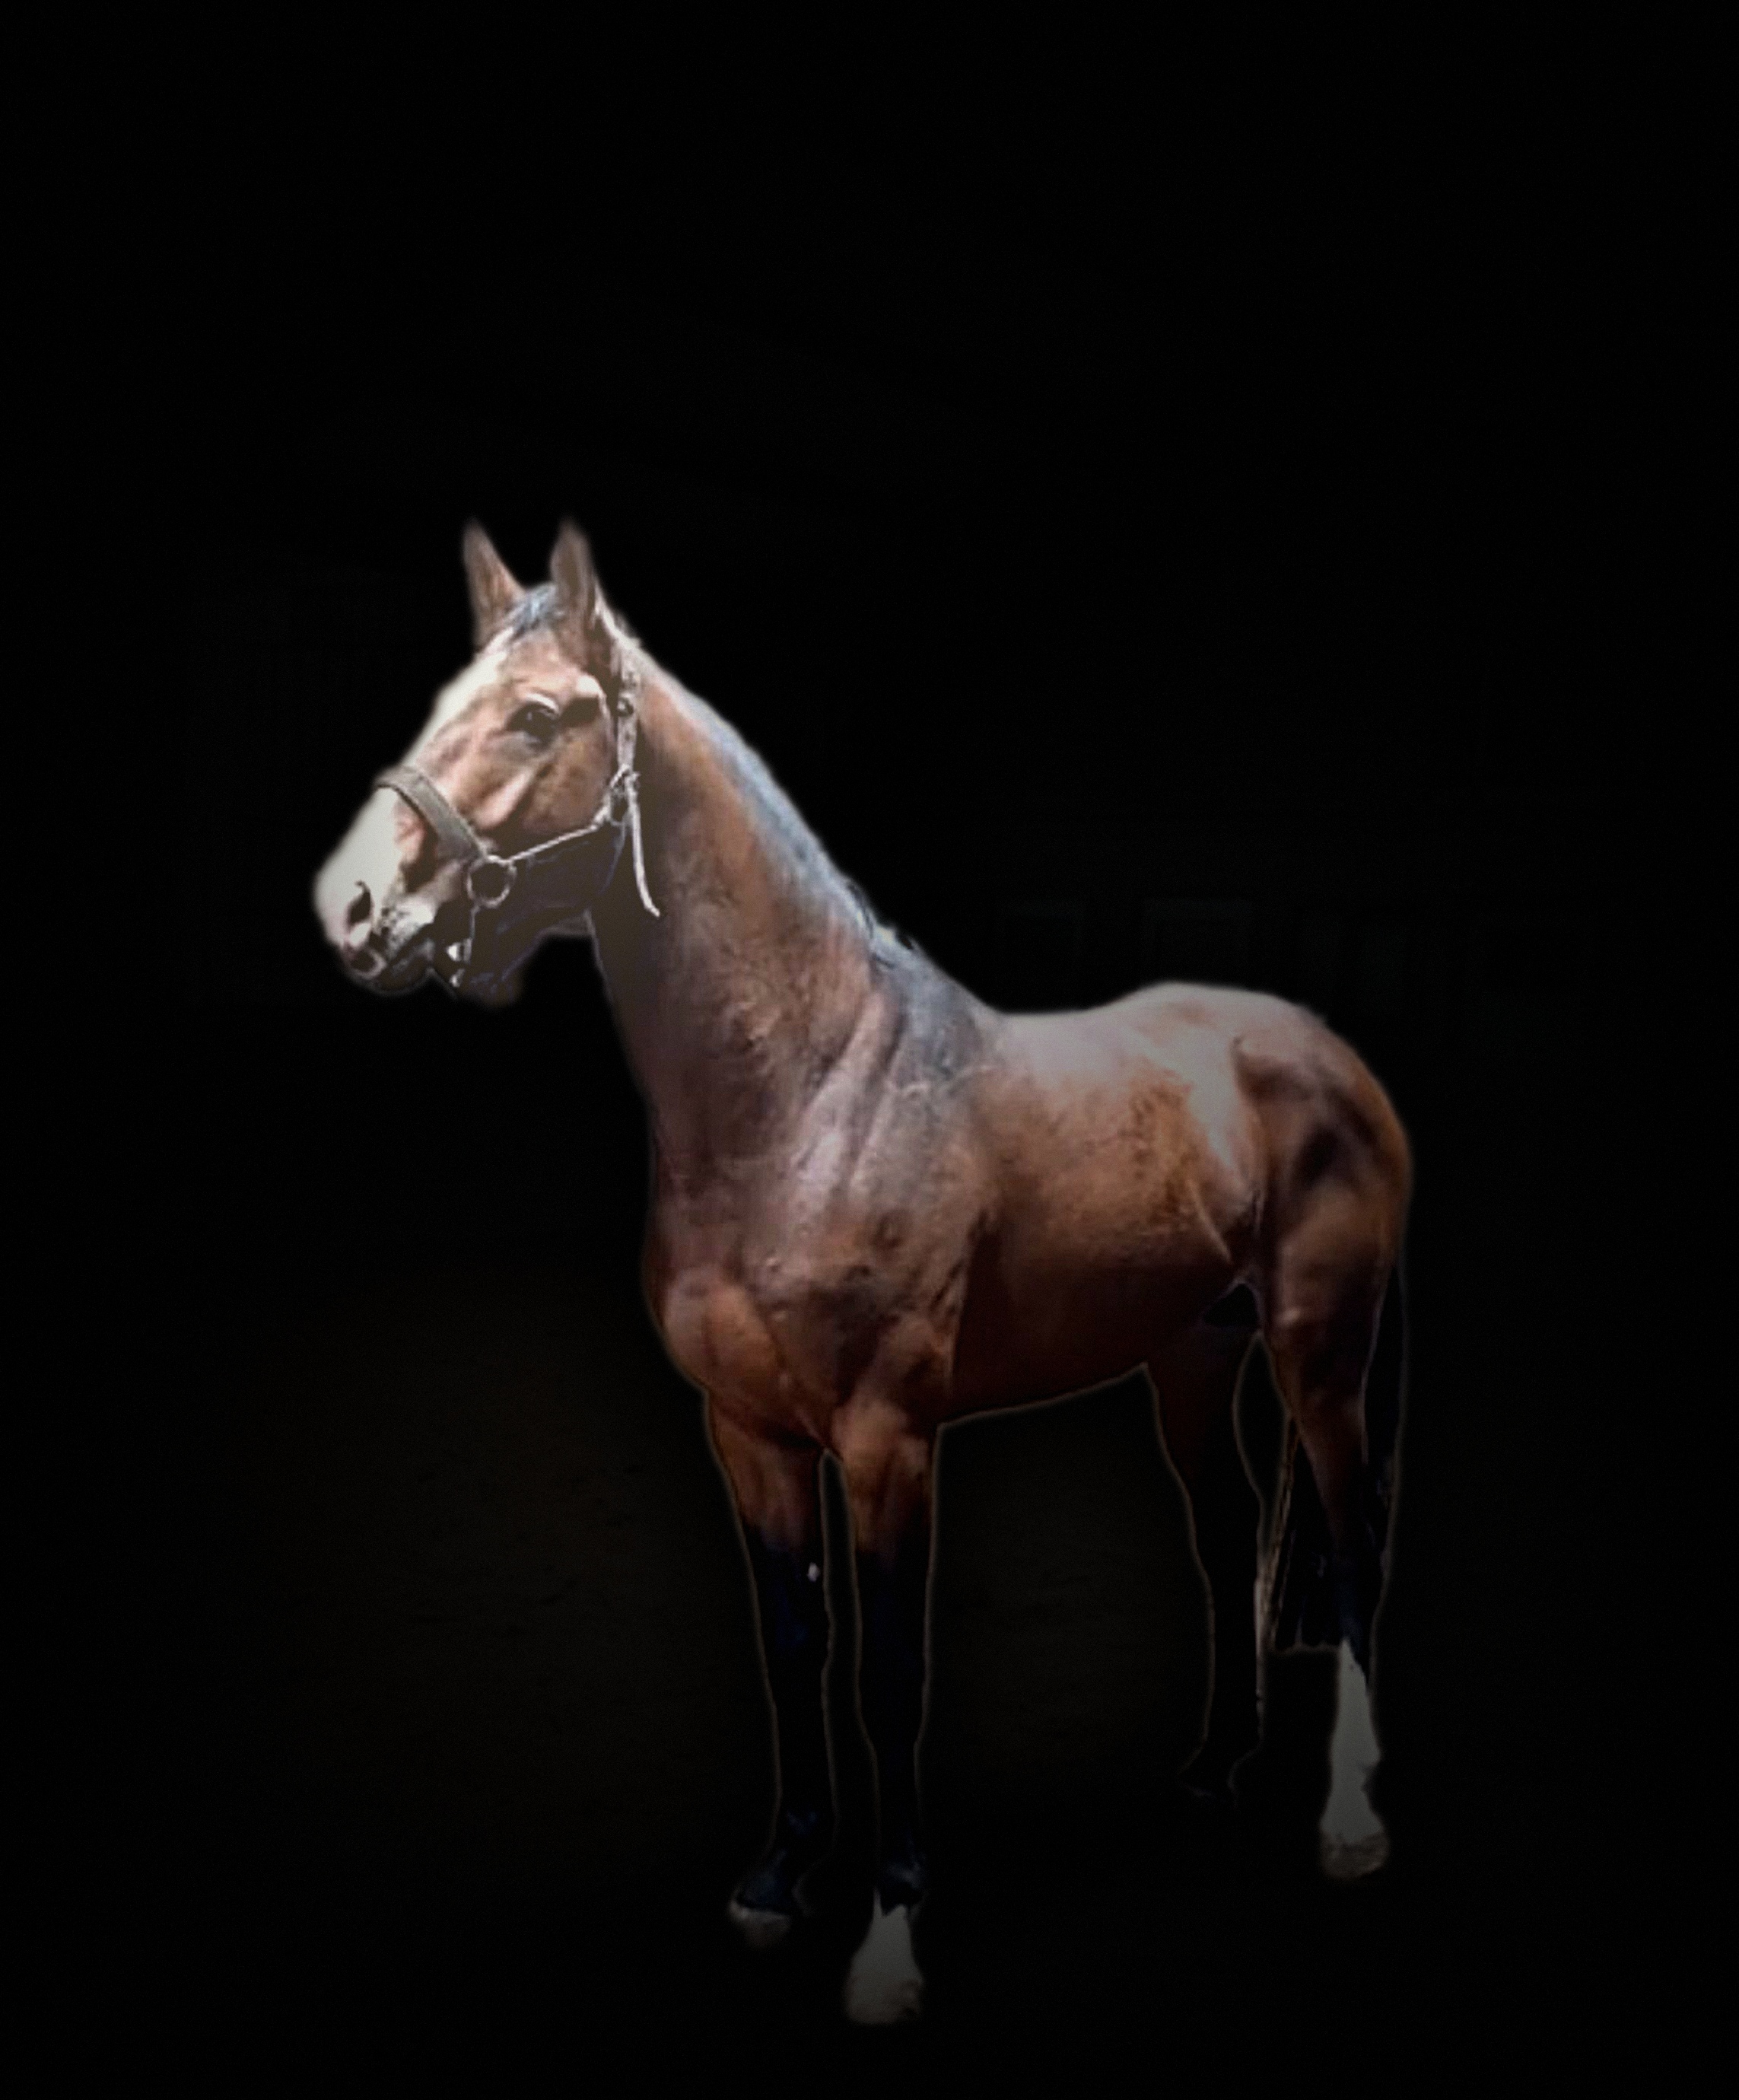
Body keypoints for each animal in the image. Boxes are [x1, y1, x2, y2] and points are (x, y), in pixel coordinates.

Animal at [313, 522, 1411, 2024]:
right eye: (444, 705)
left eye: (537, 717)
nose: (350, 906)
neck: (811, 1094)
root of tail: (1325, 1050)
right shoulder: (748, 1435)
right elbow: (793, 1648)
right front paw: (778, 1882)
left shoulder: (890, 1437)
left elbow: (890, 1668)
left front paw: (889, 1935)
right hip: (1193, 1363)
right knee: (1227, 1534)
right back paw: (1207, 1771)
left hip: (1321, 1355)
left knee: (1352, 1547)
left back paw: (1347, 1821)